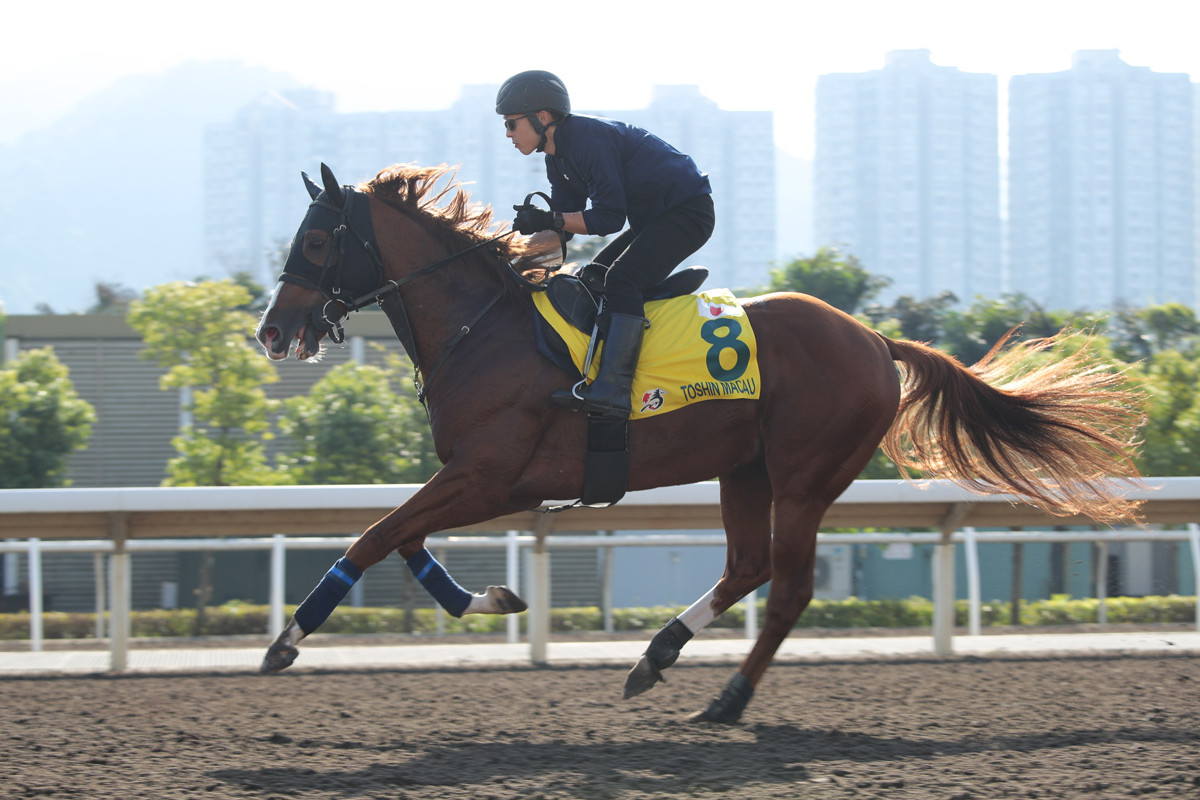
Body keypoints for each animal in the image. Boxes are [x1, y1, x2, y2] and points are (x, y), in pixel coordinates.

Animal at [255, 163, 1142, 724]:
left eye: (319, 242)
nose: (272, 330)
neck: (486, 328)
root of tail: (873, 340)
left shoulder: (493, 478)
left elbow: (374, 537)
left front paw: (285, 643)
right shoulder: (478, 479)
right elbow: (401, 541)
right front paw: (496, 599)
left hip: (805, 476)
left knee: (788, 588)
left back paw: (726, 700)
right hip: (743, 469)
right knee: (746, 566)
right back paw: (656, 656)